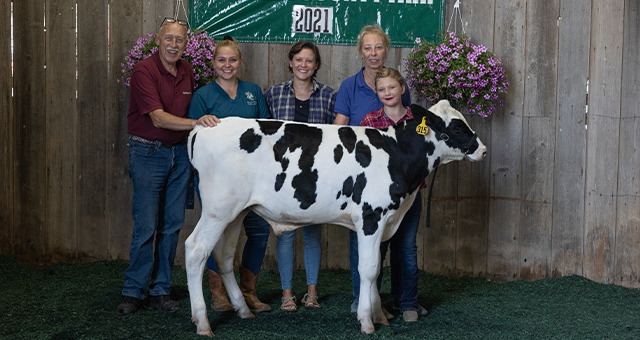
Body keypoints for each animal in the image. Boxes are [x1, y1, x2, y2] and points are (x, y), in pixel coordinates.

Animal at [188, 99, 488, 336]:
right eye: (457, 127)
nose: (483, 149)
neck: (395, 154)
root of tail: (205, 127)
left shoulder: (384, 222)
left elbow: (375, 269)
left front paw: (380, 316)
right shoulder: (371, 216)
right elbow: (368, 269)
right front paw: (367, 322)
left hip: (235, 213)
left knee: (224, 256)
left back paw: (242, 310)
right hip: (217, 210)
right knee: (195, 250)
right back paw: (202, 323)